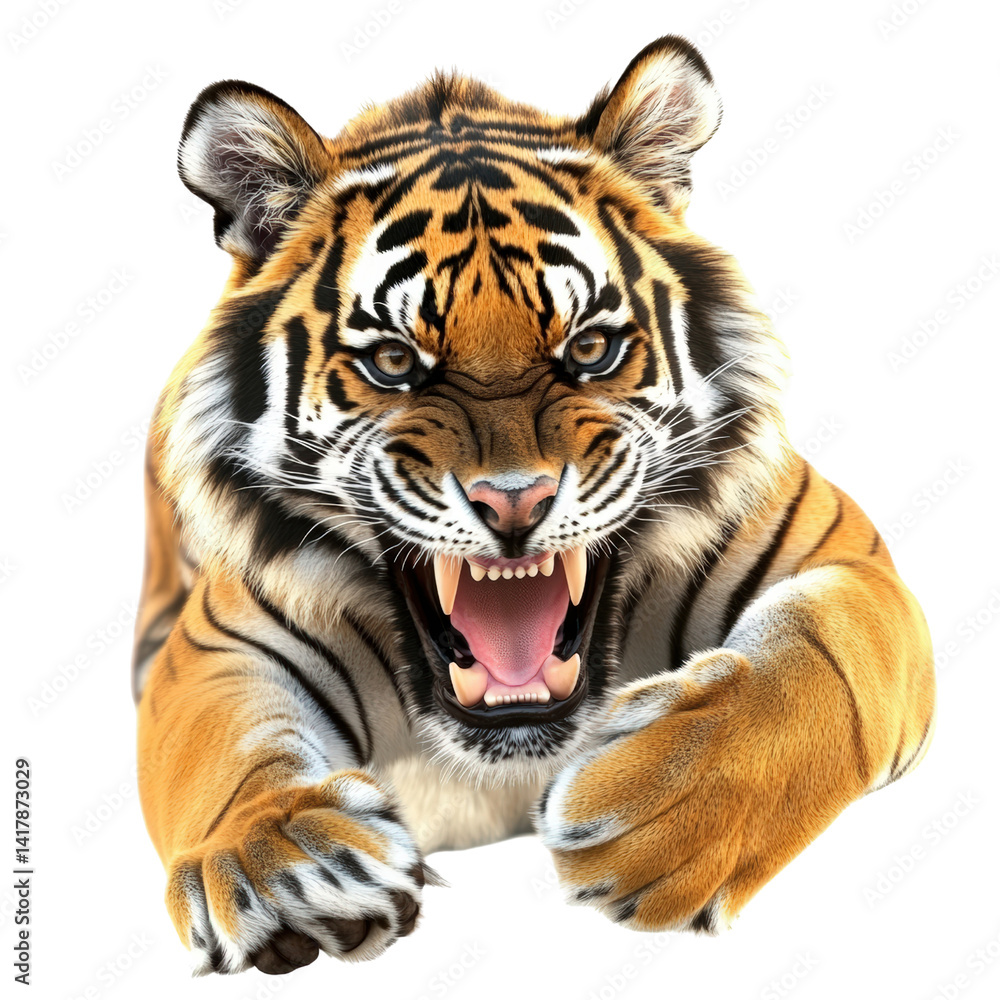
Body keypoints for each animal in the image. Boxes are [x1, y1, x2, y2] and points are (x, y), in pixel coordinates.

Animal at [133, 35, 936, 976]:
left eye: (589, 349)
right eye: (395, 363)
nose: (514, 502)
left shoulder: (849, 561)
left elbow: (823, 660)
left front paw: (663, 808)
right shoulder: (215, 646)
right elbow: (223, 751)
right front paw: (286, 863)